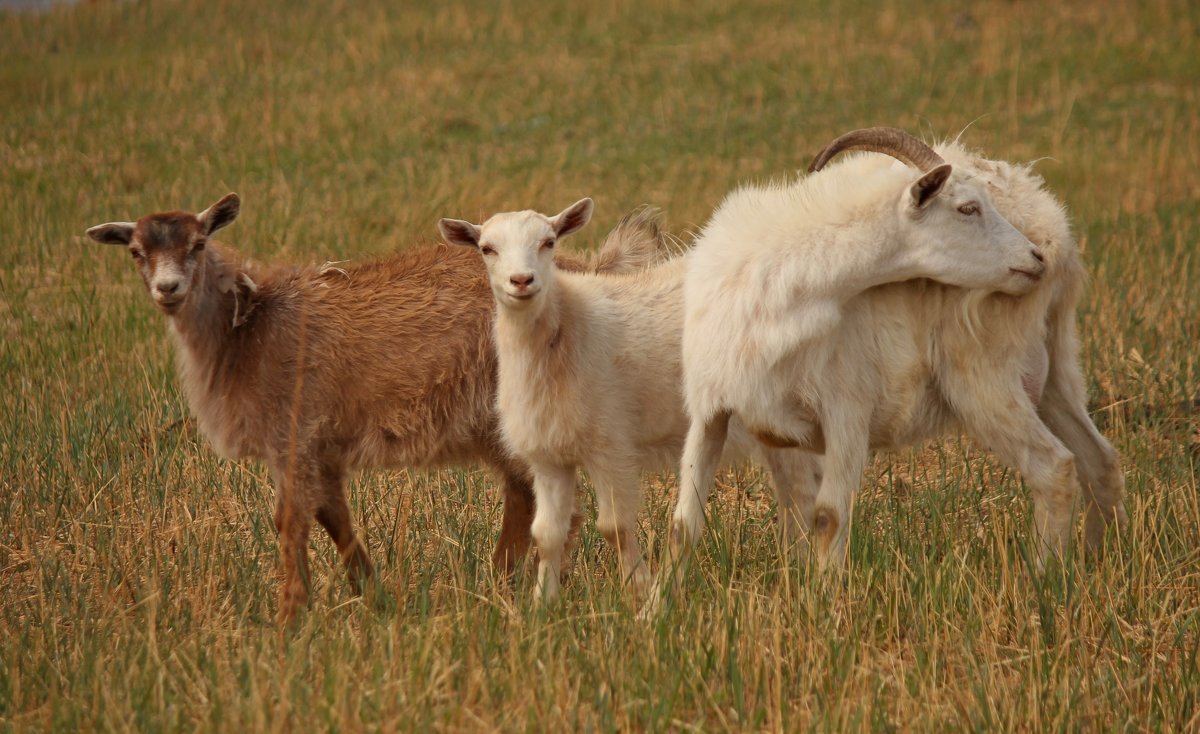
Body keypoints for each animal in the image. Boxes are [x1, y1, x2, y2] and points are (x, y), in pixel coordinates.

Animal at [87, 191, 667, 623]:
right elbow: (332, 516)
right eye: (136, 251)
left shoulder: (293, 433)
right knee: (526, 495)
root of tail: (587, 270)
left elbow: (289, 520)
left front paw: (290, 618)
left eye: (200, 242)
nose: (168, 288)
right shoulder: (319, 445)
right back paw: (501, 582)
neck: (249, 331)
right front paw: (372, 594)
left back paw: (517, 584)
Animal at [441, 202, 825, 602]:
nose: (522, 281)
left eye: (549, 242)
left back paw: (804, 572)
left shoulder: (610, 445)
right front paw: (542, 603)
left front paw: (639, 588)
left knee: (801, 491)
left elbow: (614, 527)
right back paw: (793, 566)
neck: (567, 328)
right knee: (794, 490)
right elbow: (546, 534)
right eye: (487, 249)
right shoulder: (547, 456)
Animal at [672, 128, 1118, 570]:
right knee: (1099, 459)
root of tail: (1057, 236)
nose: (1033, 258)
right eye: (968, 208)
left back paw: (1045, 577)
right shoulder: (712, 411)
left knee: (1054, 467)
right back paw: (1102, 559)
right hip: (1056, 368)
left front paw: (826, 592)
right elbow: (684, 524)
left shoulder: (848, 410)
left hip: (985, 377)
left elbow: (828, 517)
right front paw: (662, 594)